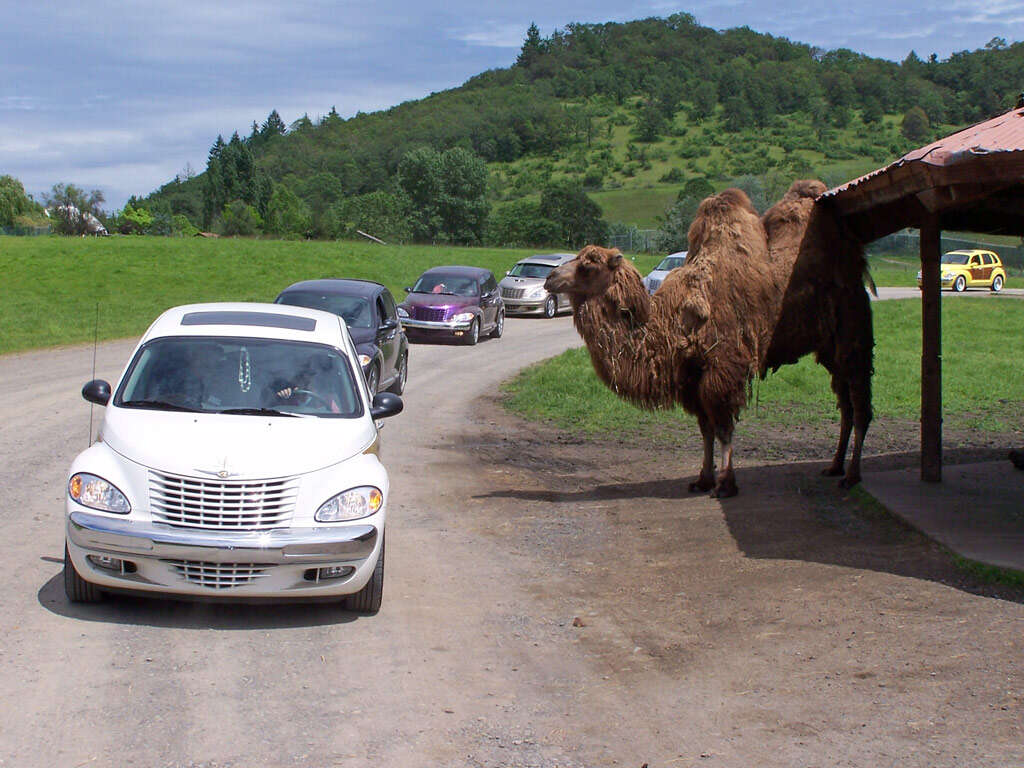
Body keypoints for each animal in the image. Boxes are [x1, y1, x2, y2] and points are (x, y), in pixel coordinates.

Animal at [544, 189, 774, 495]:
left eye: (588, 267)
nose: (550, 277)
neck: (671, 325)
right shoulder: (691, 377)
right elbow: (706, 428)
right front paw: (704, 478)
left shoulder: (724, 367)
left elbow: (724, 428)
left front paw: (726, 484)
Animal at [761, 182, 872, 487]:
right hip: (833, 354)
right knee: (846, 407)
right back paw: (835, 466)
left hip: (854, 345)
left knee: (860, 408)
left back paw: (852, 475)